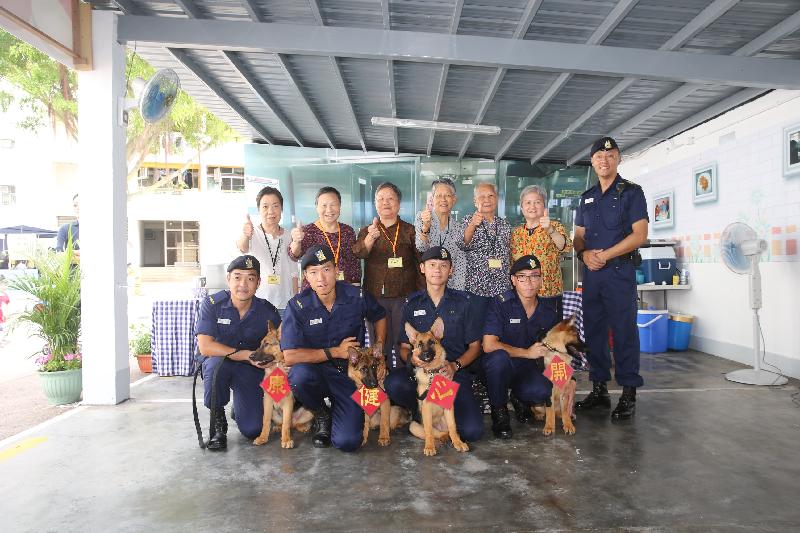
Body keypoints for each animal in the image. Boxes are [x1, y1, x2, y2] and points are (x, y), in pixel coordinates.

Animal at [406, 318, 468, 456]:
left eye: (432, 342)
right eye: (419, 345)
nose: (426, 355)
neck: (432, 374)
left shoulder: (449, 407)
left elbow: (453, 427)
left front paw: (458, 443)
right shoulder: (426, 407)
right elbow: (429, 430)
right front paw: (429, 447)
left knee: (447, 432)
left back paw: (451, 438)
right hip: (413, 426)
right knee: (434, 434)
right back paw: (438, 441)